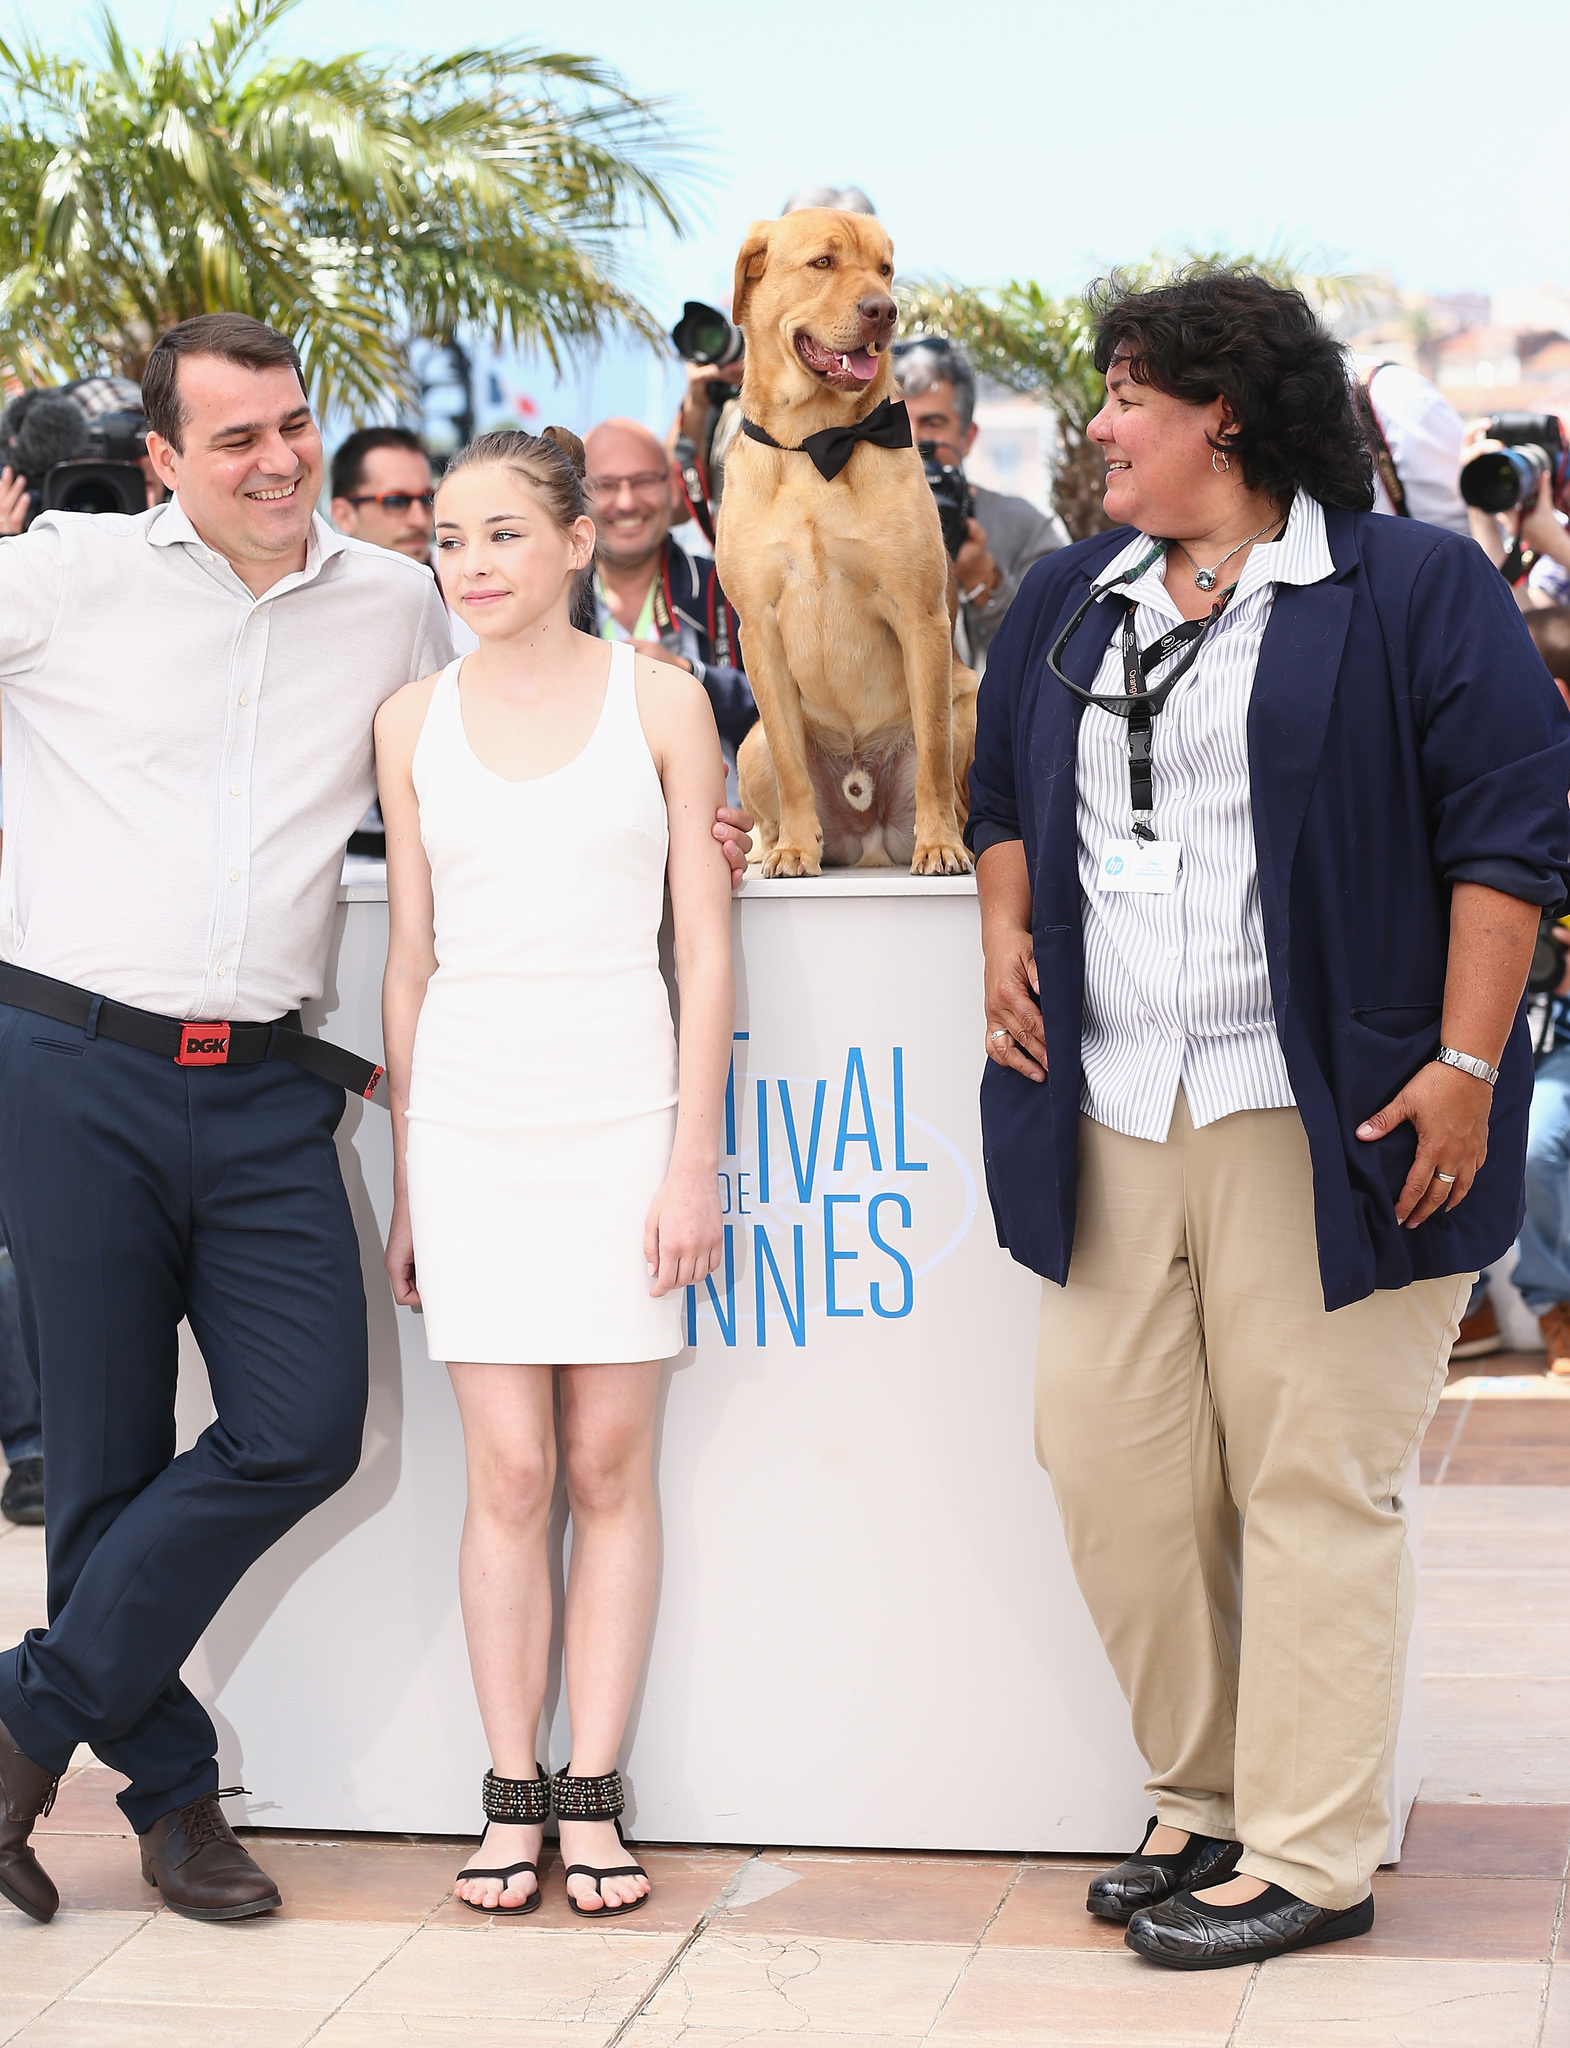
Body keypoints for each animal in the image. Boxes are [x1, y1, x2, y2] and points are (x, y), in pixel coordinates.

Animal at [720, 211, 974, 876]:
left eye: (884, 269)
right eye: (823, 263)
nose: (883, 309)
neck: (815, 443)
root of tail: (868, 841)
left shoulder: (920, 616)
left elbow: (933, 755)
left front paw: (939, 844)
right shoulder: (757, 628)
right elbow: (791, 766)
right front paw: (794, 848)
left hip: (970, 698)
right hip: (750, 744)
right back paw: (767, 848)